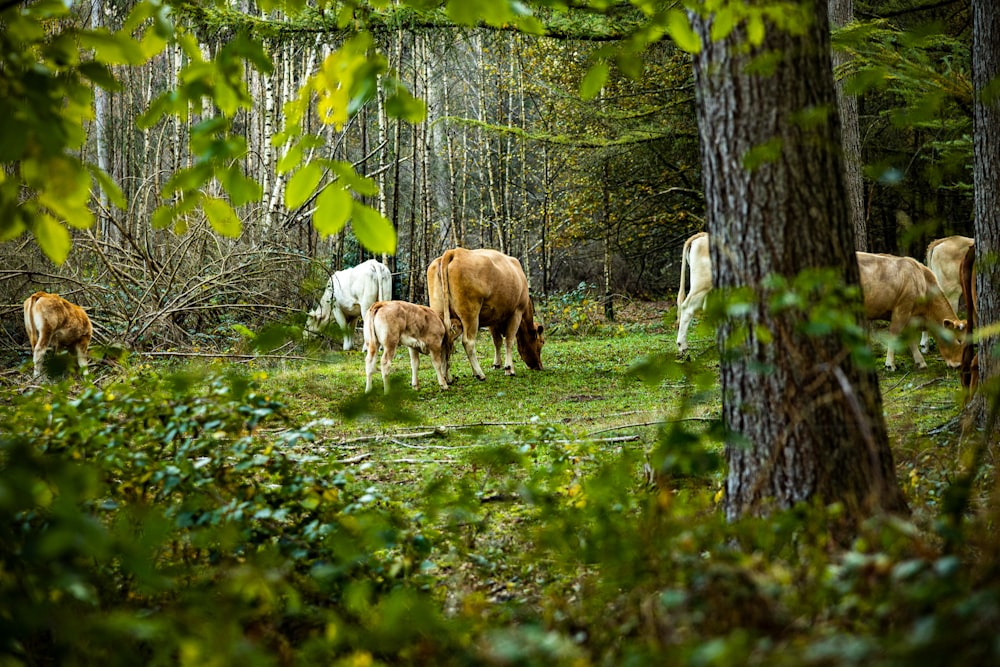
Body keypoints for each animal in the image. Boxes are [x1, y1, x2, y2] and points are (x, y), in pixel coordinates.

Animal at [426, 248, 544, 380]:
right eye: (542, 342)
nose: (539, 366)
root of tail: (454, 252)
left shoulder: (493, 317)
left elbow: (497, 341)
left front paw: (497, 364)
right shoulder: (516, 312)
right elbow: (509, 340)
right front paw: (509, 368)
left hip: (439, 312)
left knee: (444, 341)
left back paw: (447, 377)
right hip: (471, 314)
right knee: (468, 342)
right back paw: (479, 374)